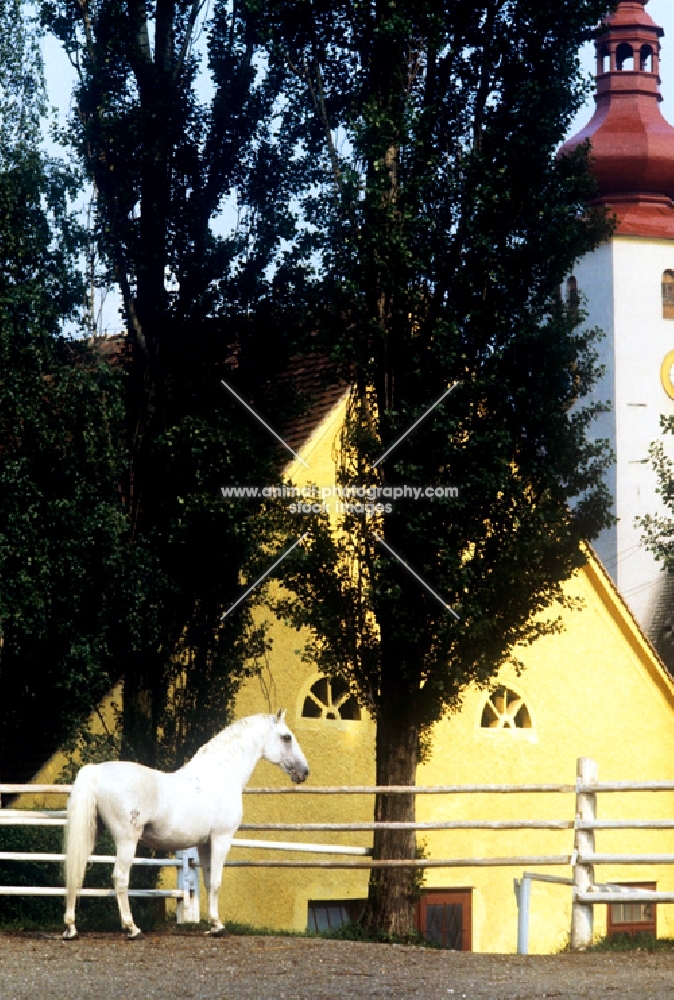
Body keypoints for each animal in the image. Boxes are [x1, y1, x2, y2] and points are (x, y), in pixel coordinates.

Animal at [61, 712, 308, 936]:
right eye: (286, 737)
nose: (304, 772)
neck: (220, 776)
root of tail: (97, 770)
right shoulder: (221, 839)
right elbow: (216, 882)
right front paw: (219, 927)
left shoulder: (205, 844)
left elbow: (208, 881)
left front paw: (214, 924)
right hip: (126, 840)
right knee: (120, 878)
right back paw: (132, 928)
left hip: (91, 834)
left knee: (76, 872)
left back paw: (71, 929)